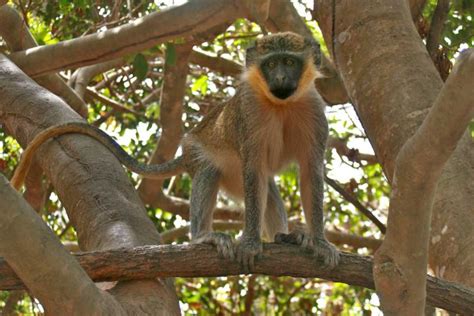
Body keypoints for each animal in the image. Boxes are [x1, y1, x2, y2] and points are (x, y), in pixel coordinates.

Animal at [12, 32, 338, 272]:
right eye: (271, 65)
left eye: (289, 62)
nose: (281, 79)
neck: (282, 105)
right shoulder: (248, 113)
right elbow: (253, 170)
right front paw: (249, 242)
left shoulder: (315, 113)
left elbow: (310, 172)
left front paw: (319, 241)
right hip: (196, 151)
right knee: (214, 173)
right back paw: (203, 237)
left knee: (266, 188)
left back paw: (283, 236)